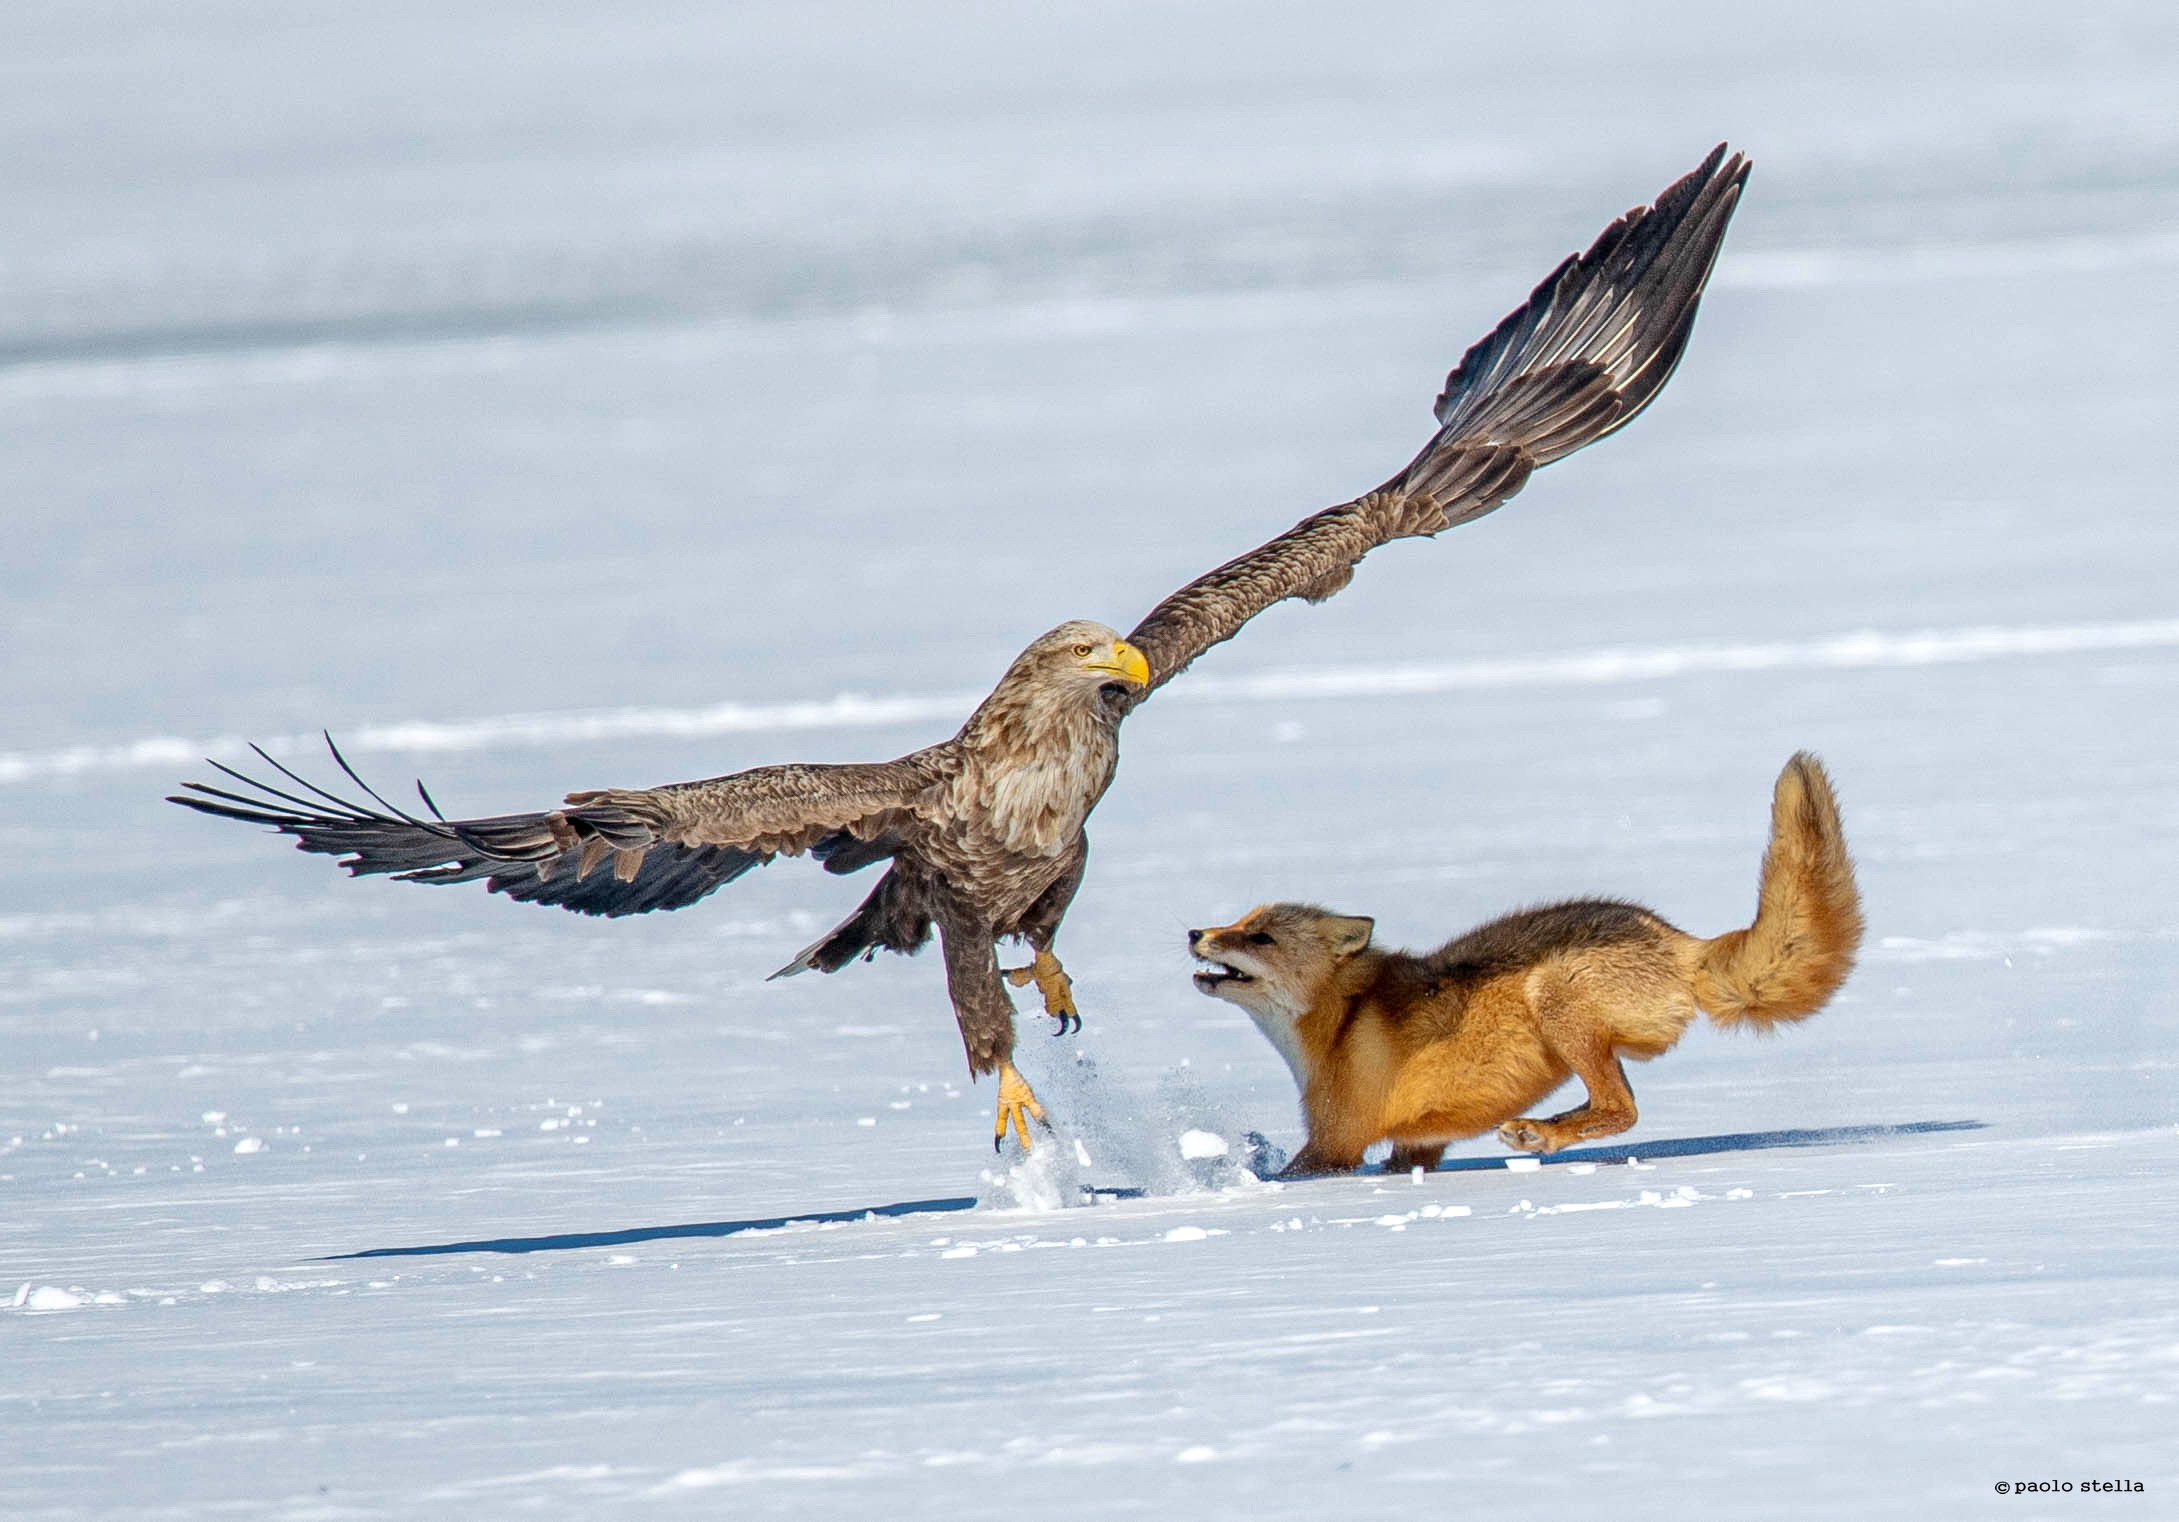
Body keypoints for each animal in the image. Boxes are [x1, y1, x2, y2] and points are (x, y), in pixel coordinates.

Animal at [1187, 753, 1863, 1176]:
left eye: (1260, 937)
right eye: (1239, 920)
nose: (1196, 932)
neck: (1339, 1024)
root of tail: (1676, 938)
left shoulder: (1335, 1143)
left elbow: (1291, 1176)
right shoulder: (1416, 1146)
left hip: (1556, 998)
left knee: (1623, 1109)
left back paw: (1541, 1134)